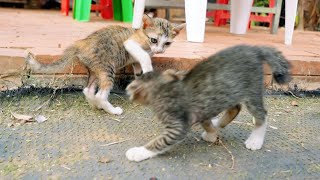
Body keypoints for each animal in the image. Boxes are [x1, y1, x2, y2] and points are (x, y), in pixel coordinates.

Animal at [126, 44, 292, 162]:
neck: (164, 87)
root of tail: (254, 48)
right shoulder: (202, 109)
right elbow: (206, 122)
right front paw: (212, 133)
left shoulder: (177, 125)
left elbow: (160, 141)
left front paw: (138, 152)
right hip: (228, 91)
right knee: (235, 107)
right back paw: (219, 122)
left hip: (252, 91)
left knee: (261, 114)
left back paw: (255, 139)